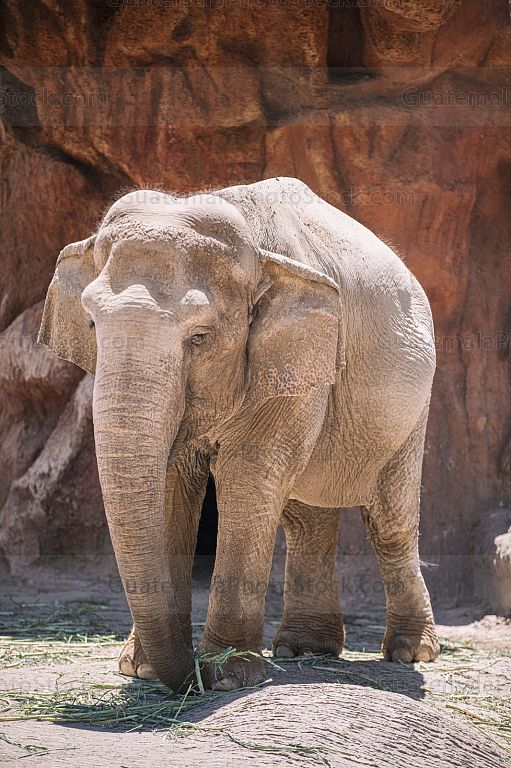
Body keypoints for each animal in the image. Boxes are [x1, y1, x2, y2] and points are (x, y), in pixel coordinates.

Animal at [39, 177, 439, 693]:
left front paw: (227, 676)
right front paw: (142, 669)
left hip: (413, 407)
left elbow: (248, 476)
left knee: (389, 520)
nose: (189, 676)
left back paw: (410, 653)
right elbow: (172, 482)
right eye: (91, 323)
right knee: (306, 518)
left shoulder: (291, 354)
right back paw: (303, 650)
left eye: (200, 336)